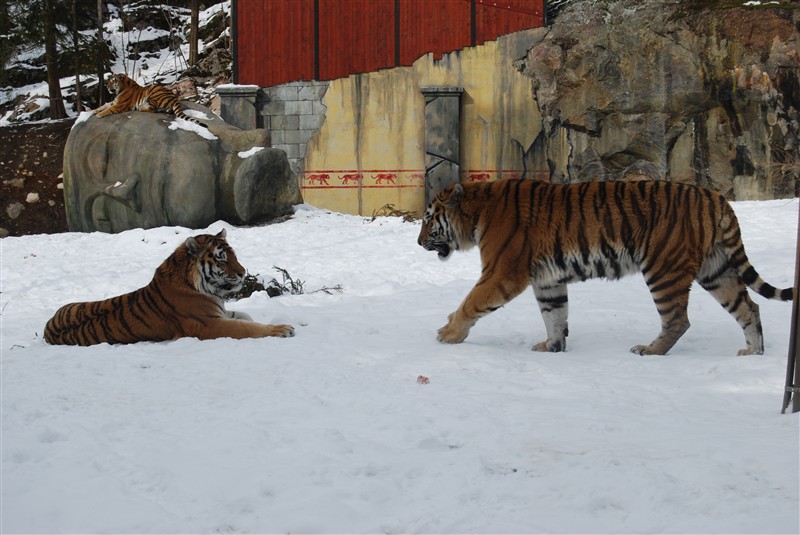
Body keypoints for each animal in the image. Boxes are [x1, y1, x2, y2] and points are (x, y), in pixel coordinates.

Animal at [43, 229, 294, 346]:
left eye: (234, 255)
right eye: (221, 259)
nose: (243, 273)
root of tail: (47, 327)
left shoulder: (219, 312)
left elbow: (246, 316)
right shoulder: (208, 325)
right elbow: (246, 327)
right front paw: (282, 329)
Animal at [417, 178, 794, 356]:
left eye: (428, 218)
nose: (419, 242)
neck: (477, 213)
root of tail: (715, 196)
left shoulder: (502, 272)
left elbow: (471, 302)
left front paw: (448, 333)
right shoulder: (547, 280)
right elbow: (555, 315)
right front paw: (552, 347)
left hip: (664, 268)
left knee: (678, 319)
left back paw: (650, 350)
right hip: (716, 270)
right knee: (749, 307)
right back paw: (752, 351)